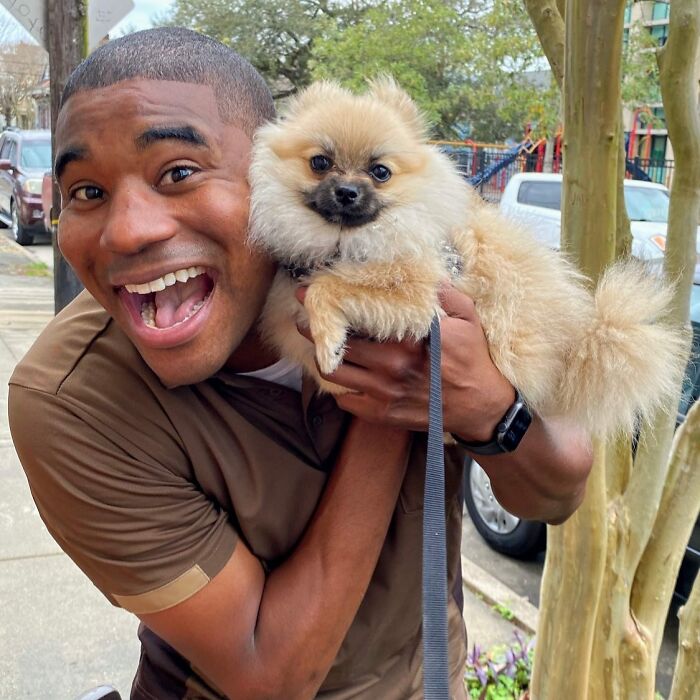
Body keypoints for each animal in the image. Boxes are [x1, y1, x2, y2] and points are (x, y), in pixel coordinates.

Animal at [249, 78, 688, 438]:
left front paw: (329, 343)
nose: (346, 192)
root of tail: (579, 335)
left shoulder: (416, 290)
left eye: (380, 172)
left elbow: (327, 287)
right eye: (320, 162)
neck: (341, 244)